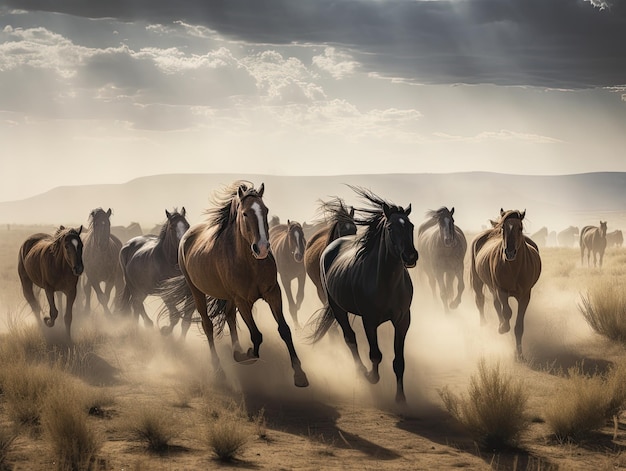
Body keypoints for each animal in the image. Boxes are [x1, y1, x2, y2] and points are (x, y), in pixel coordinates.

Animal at [160, 183, 308, 390]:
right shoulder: (243, 301)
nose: (262, 248)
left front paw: (300, 374)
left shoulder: (273, 293)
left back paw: (236, 351)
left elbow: (284, 330)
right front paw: (248, 354)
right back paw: (219, 370)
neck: (249, 263)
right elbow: (256, 336)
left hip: (228, 296)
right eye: (245, 213)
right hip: (196, 291)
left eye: (265, 210)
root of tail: (186, 237)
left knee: (229, 316)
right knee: (208, 325)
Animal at [308, 186, 414, 404]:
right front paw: (371, 377)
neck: (387, 282)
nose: (411, 256)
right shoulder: (369, 320)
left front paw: (401, 398)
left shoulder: (402, 320)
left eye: (411, 227)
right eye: (391, 228)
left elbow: (399, 361)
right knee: (350, 338)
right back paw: (360, 371)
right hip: (337, 308)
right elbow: (375, 354)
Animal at [468, 208, 540, 360]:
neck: (514, 269)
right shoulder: (502, 291)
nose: (510, 252)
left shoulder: (525, 296)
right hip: (478, 281)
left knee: (495, 304)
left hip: (492, 287)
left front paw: (519, 355)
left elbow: (519, 327)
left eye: (520, 228)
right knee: (480, 300)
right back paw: (484, 324)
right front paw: (503, 328)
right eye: (503, 228)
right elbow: (507, 312)